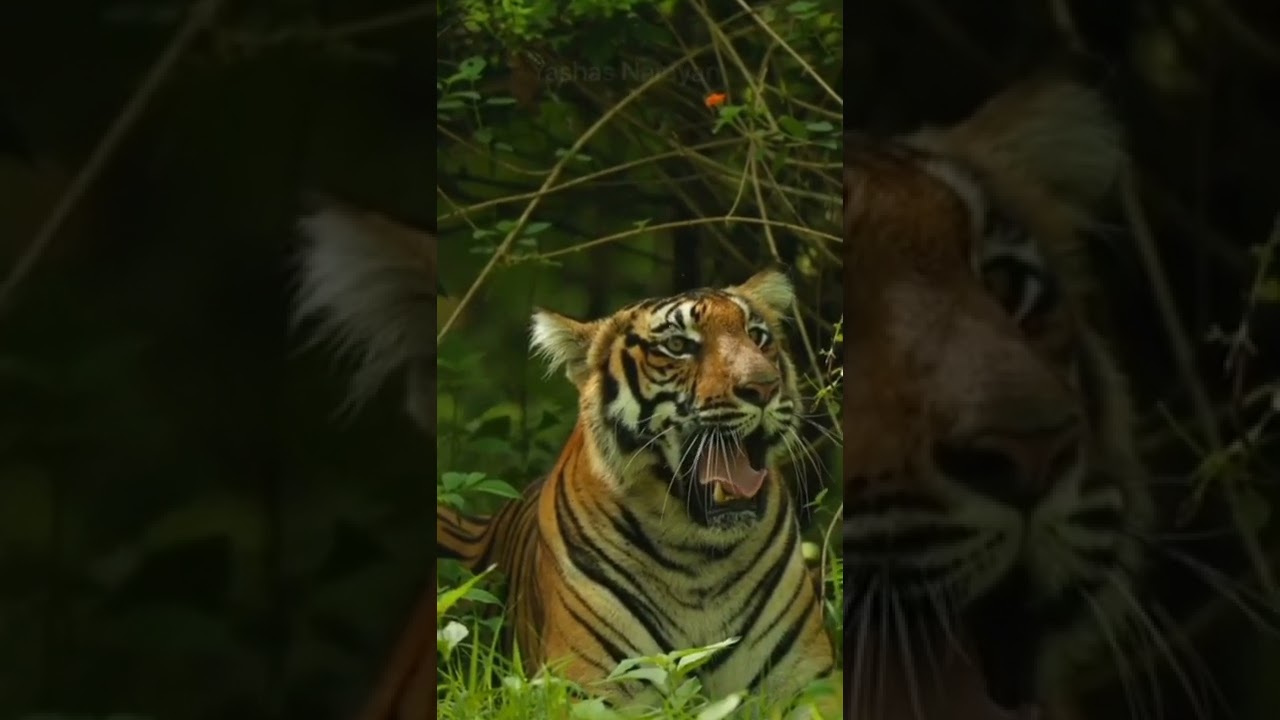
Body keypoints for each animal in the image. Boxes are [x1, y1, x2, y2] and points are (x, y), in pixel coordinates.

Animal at [291, 214, 835, 716]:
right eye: (679, 346)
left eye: (758, 336)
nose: (763, 387)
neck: (700, 559)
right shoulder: (594, 692)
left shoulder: (809, 685)